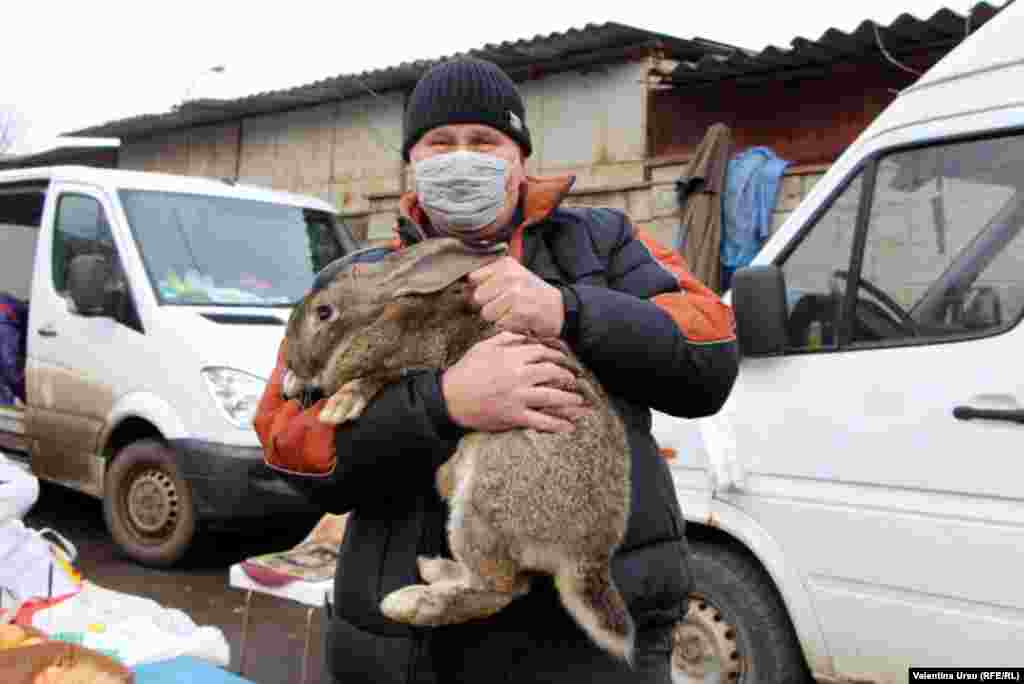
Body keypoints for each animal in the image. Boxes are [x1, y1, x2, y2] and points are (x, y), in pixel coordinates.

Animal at [280, 236, 630, 663]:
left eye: (324, 312)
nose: (289, 356)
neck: (380, 317)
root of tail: (585, 559)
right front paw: (294, 382)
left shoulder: (415, 360)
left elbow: (379, 376)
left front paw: (339, 404)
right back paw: (433, 570)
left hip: (480, 505)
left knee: (501, 589)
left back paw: (410, 603)